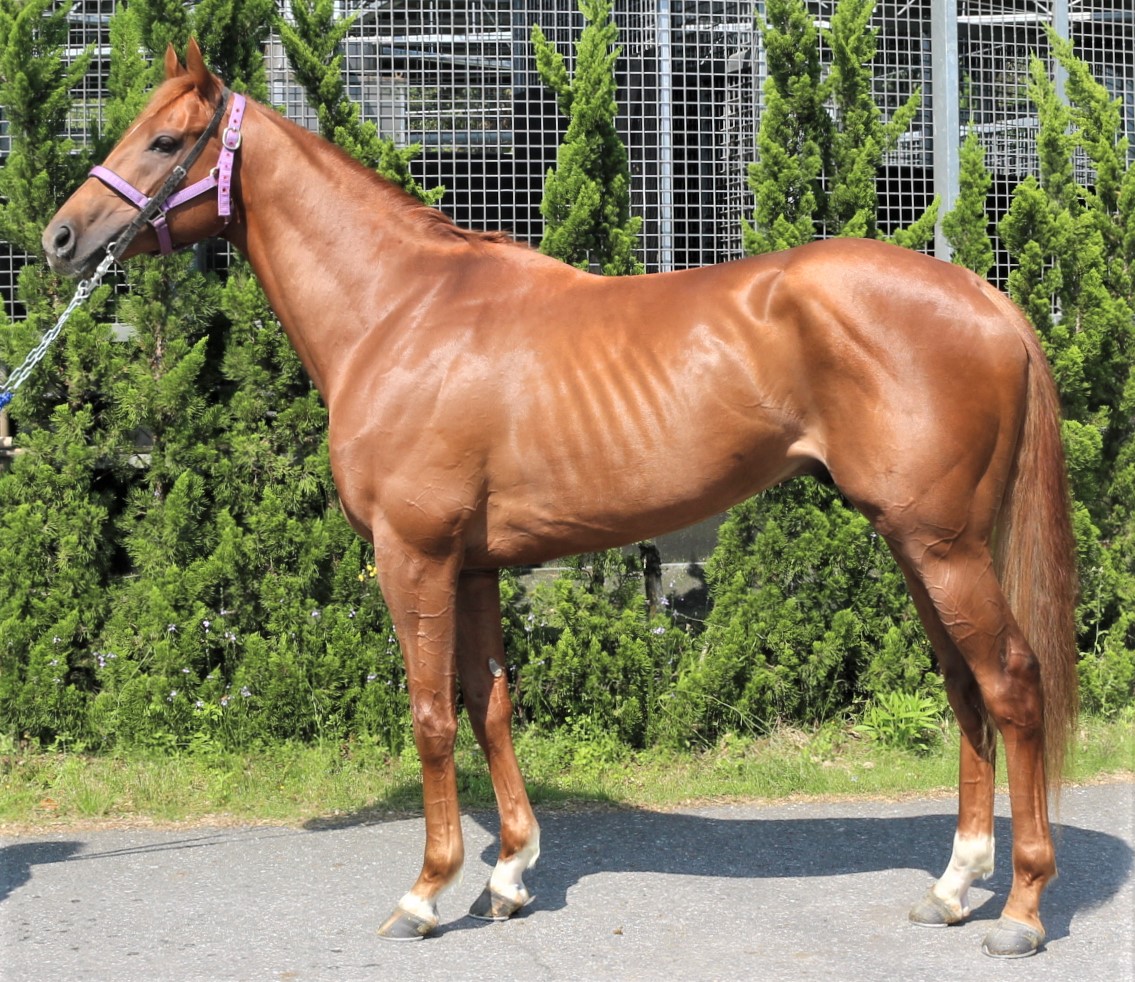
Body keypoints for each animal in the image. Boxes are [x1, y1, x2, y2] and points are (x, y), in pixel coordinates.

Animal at [42, 41, 1078, 958]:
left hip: (941, 545)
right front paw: (507, 875)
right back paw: (953, 888)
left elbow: (428, 715)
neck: (400, 312)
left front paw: (426, 893)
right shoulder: (473, 568)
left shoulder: (412, 555)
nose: (60, 237)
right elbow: (487, 705)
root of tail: (985, 298)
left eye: (166, 139)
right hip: (921, 543)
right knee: (963, 688)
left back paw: (1021, 908)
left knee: (1010, 683)